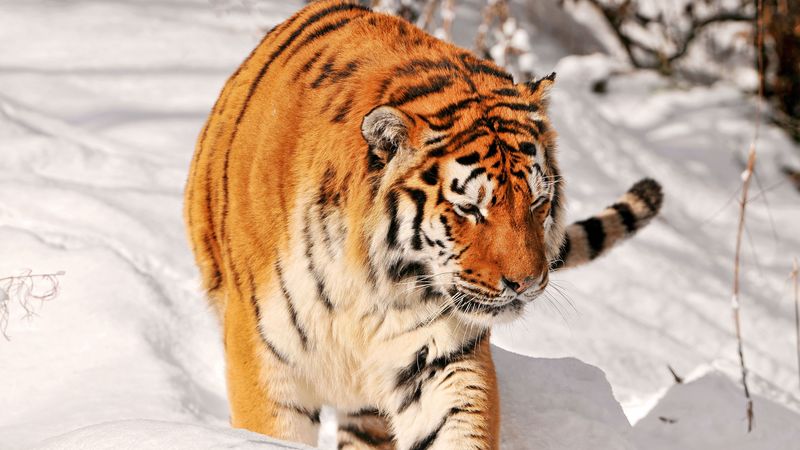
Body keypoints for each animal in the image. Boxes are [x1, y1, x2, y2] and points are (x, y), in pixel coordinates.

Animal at [183, 1, 663, 449]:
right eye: (470, 209)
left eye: (538, 202)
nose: (526, 284)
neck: (364, 283)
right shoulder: (265, 360)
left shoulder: (439, 355)